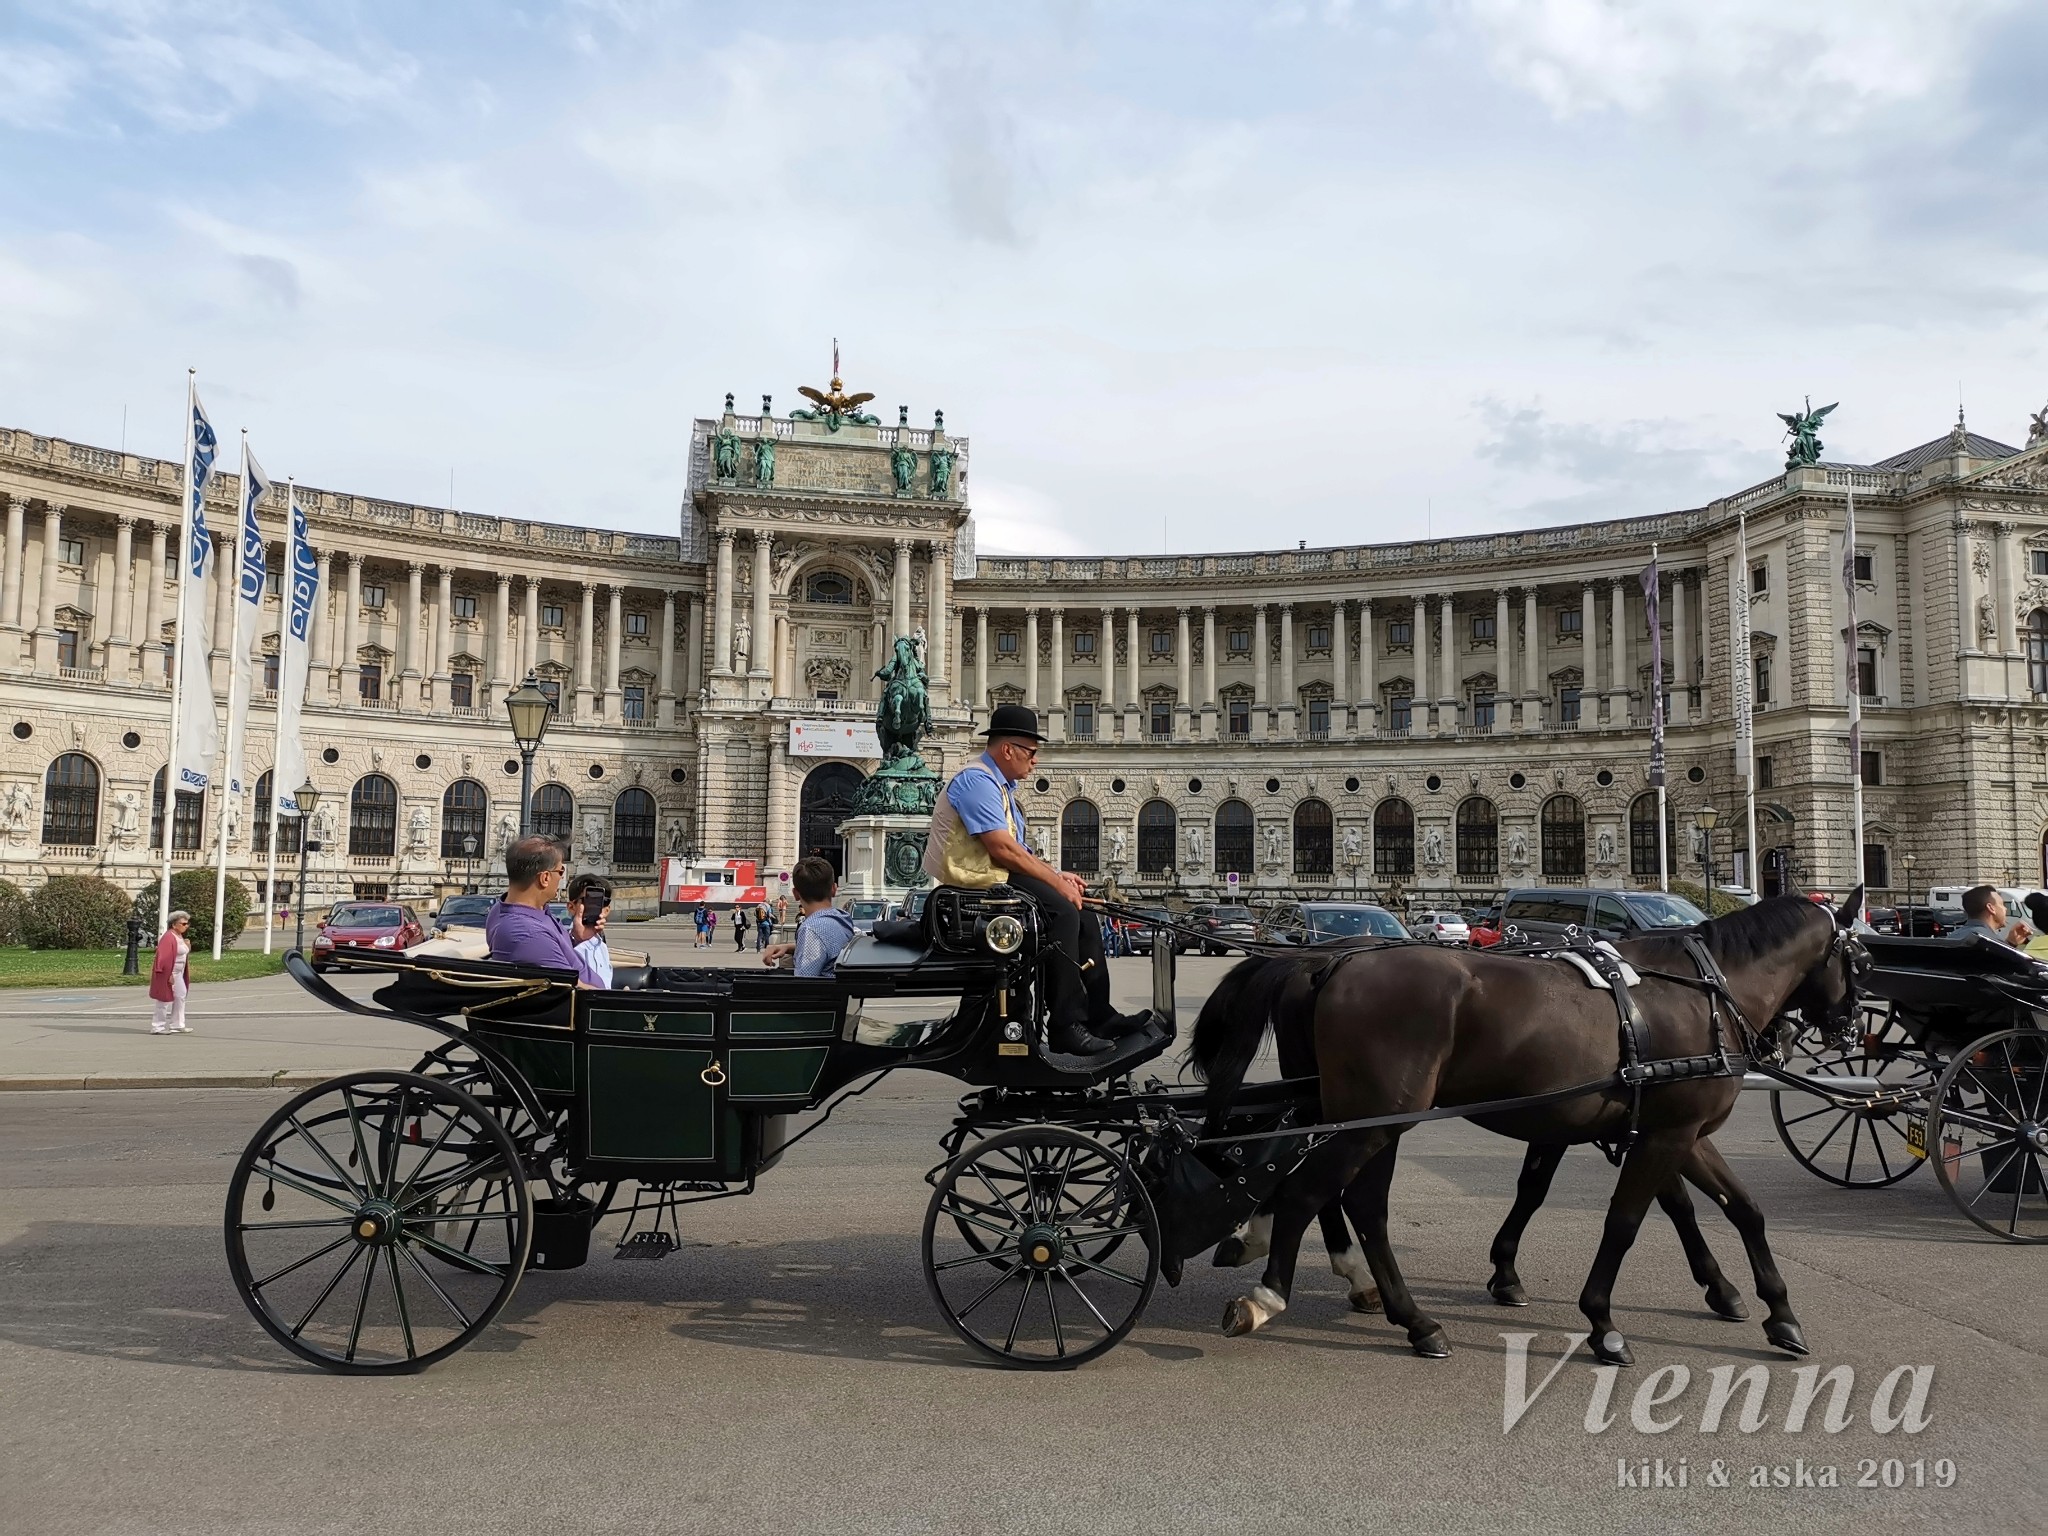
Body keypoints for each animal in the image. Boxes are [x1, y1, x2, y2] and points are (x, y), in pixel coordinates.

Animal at [1187, 897, 1875, 1368]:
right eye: (1860, 958)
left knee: (1353, 1200)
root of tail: (1325, 963)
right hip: (1376, 1118)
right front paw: (1603, 1323)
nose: (1852, 1030)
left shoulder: (1666, 1130)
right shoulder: (1664, 1134)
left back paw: (1403, 1313)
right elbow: (1627, 1221)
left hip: (1361, 1115)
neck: (1704, 994)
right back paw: (1273, 1293)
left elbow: (1738, 1209)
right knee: (1319, 1192)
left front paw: (1774, 1313)